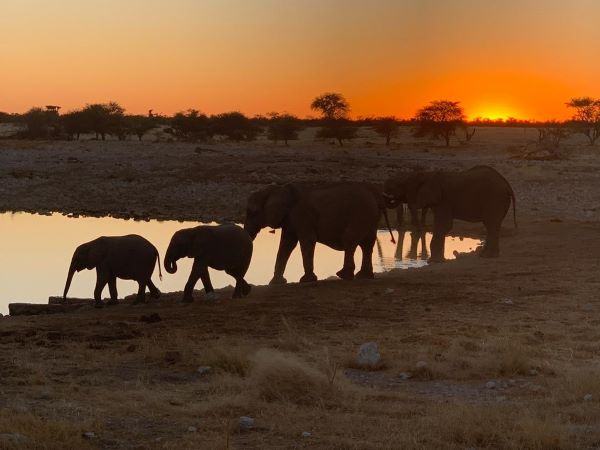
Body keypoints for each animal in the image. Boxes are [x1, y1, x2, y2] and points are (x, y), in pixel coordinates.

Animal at [244, 181, 394, 284]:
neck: (281, 189)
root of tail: (377, 196)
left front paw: (306, 280)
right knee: (367, 244)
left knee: (350, 240)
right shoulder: (290, 219)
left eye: (252, 212)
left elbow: (307, 241)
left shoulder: (303, 216)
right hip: (370, 216)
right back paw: (363, 276)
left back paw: (344, 275)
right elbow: (287, 244)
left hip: (361, 214)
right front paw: (276, 283)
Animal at [384, 165, 516, 260]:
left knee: (491, 224)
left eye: (401, 185)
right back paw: (486, 255)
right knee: (492, 225)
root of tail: (506, 184)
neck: (427, 175)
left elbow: (444, 225)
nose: (392, 240)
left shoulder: (443, 200)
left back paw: (487, 256)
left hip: (494, 198)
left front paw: (433, 261)